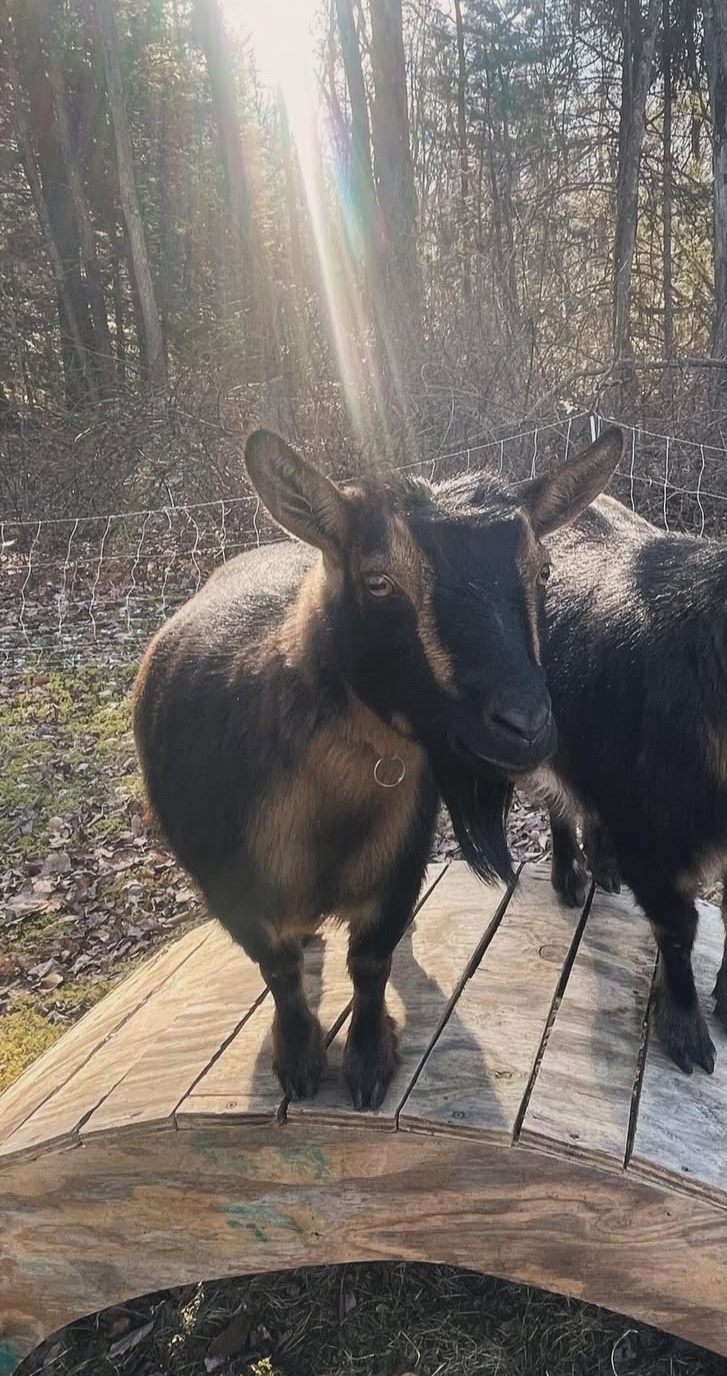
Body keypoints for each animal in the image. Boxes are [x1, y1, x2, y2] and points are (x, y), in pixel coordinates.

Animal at [133, 427, 622, 1108]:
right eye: (378, 581)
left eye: (542, 569)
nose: (525, 724)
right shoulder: (233, 893)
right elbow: (279, 970)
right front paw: (300, 1060)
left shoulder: (398, 867)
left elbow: (370, 963)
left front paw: (367, 1064)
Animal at [525, 493, 727, 1075]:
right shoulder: (651, 840)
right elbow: (679, 926)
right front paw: (687, 1038)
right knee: (559, 802)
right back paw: (571, 879)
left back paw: (605, 867)